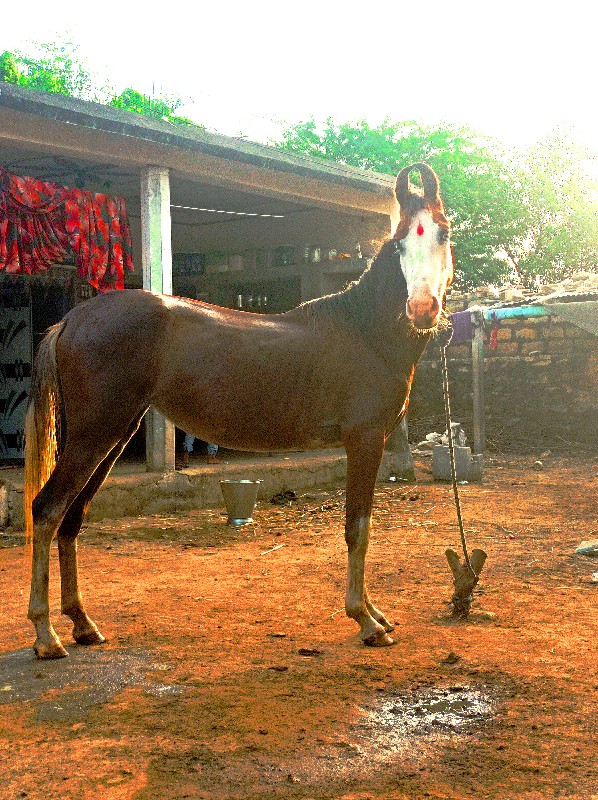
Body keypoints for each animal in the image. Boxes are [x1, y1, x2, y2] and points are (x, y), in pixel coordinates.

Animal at [24, 161, 454, 656]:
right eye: (400, 241)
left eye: (443, 234)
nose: (422, 310)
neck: (365, 330)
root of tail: (72, 319)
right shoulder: (363, 441)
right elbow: (357, 528)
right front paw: (365, 620)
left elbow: (361, 527)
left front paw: (374, 613)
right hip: (95, 435)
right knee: (48, 509)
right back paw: (46, 635)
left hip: (112, 434)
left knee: (72, 518)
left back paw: (82, 624)